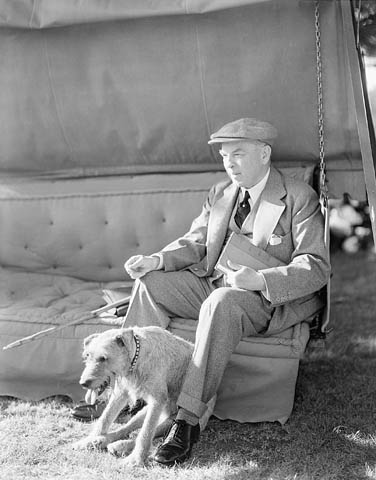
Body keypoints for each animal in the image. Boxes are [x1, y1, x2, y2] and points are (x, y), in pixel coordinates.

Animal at [72, 324, 194, 466]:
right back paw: (100, 440)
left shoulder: (157, 401)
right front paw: (89, 440)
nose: (83, 383)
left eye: (103, 358)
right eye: (87, 356)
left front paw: (136, 458)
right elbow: (105, 418)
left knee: (147, 434)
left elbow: (145, 433)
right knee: (126, 428)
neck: (136, 359)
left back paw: (119, 446)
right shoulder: (120, 393)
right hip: (142, 413)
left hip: (170, 420)